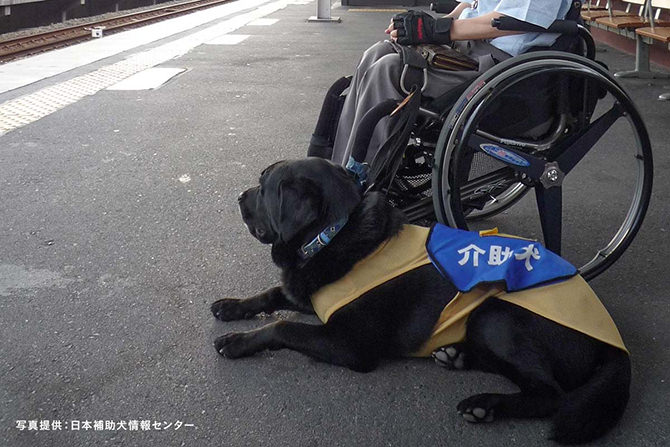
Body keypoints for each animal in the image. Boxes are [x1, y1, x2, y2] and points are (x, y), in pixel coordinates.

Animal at [213, 158, 632, 444]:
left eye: (264, 187)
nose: (238, 196)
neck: (334, 233)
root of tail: (614, 340)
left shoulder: (350, 345)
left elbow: (282, 325)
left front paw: (236, 341)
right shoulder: (313, 293)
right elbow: (272, 294)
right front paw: (232, 306)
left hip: (497, 316)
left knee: (550, 396)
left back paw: (485, 405)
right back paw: (454, 357)